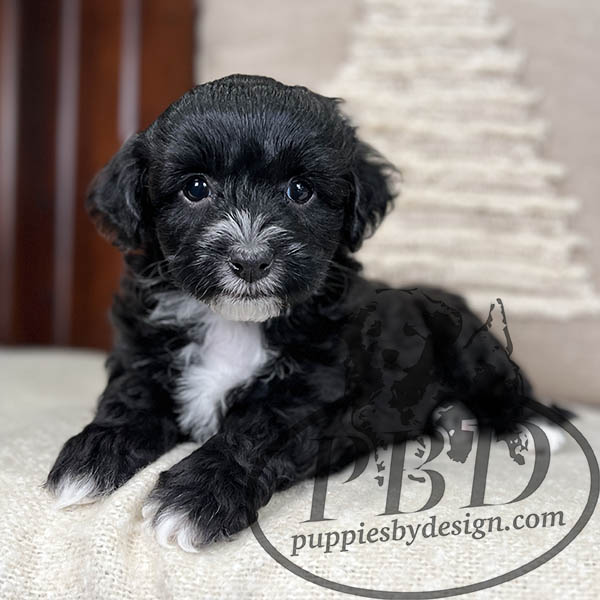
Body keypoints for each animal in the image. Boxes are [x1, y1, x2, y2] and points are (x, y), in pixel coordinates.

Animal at [46, 74, 565, 551]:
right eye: (196, 188)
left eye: (300, 190)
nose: (251, 260)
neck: (235, 322)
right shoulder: (143, 353)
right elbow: (130, 398)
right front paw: (95, 454)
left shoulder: (311, 392)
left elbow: (256, 433)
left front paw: (199, 496)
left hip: (469, 347)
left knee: (501, 383)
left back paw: (539, 425)